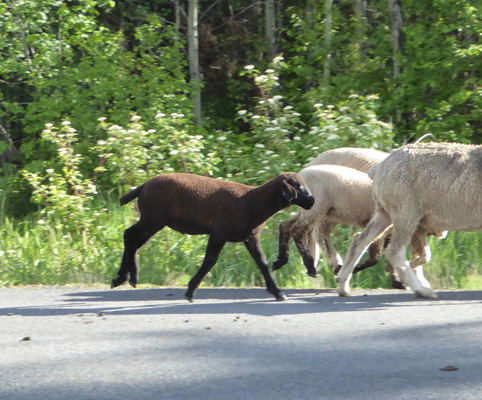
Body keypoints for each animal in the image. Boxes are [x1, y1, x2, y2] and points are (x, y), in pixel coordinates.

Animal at [336, 142, 482, 298]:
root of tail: (380, 166)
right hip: (405, 212)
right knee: (394, 250)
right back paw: (422, 290)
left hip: (384, 213)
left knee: (360, 240)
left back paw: (343, 286)